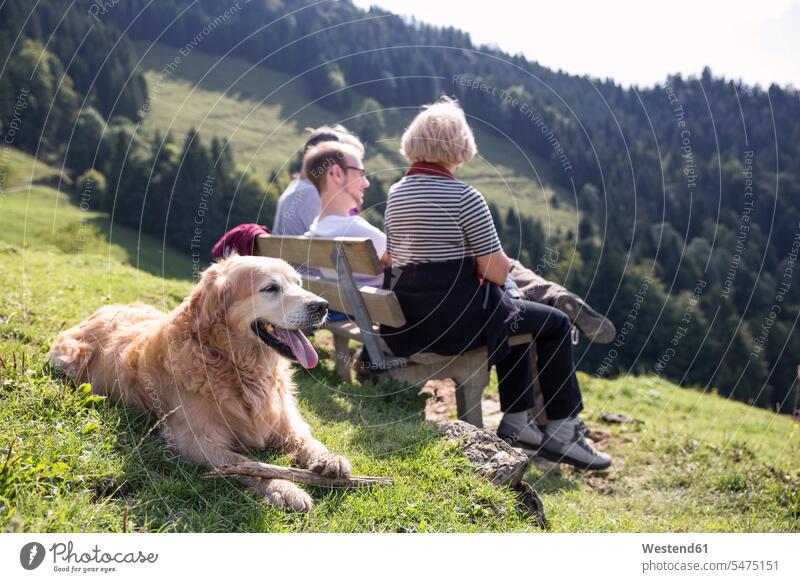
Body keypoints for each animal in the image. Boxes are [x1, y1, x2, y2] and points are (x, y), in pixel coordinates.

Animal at [47, 258, 350, 512]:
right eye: (270, 288)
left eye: (298, 283)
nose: (322, 305)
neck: (239, 367)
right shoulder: (196, 441)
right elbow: (249, 464)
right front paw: (284, 488)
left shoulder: (285, 421)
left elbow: (307, 440)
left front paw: (330, 458)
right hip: (66, 360)